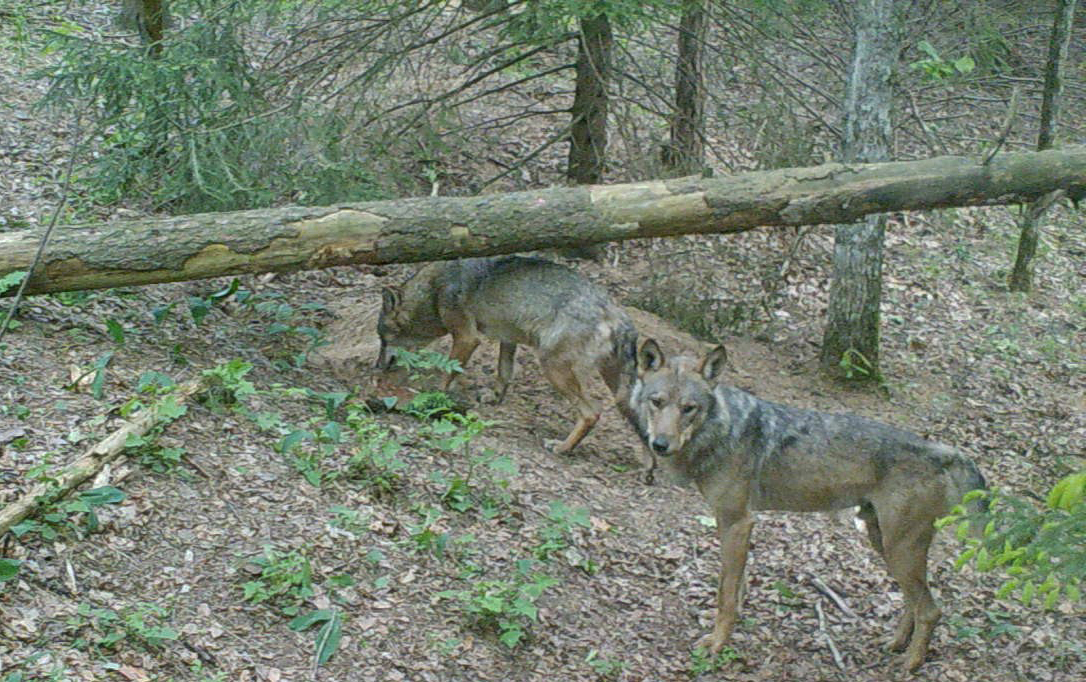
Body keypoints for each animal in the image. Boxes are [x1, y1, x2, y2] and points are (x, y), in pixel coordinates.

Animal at [376, 256, 645, 458]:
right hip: (620, 392)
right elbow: (503, 373)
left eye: (382, 339)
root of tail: (619, 317)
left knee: (592, 412)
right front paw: (494, 398)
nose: (377, 366)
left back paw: (561, 447)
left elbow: (447, 373)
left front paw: (432, 398)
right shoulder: (508, 337)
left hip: (552, 367)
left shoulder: (467, 338)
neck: (434, 289)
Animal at [629, 338, 987, 672]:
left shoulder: (738, 522)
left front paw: (717, 644)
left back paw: (909, 663)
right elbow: (737, 588)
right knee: (914, 602)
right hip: (884, 543)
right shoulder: (733, 524)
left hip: (899, 550)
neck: (722, 431)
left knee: (930, 609)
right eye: (657, 402)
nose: (660, 445)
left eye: (689, 408)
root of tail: (946, 452)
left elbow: (725, 595)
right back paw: (895, 645)